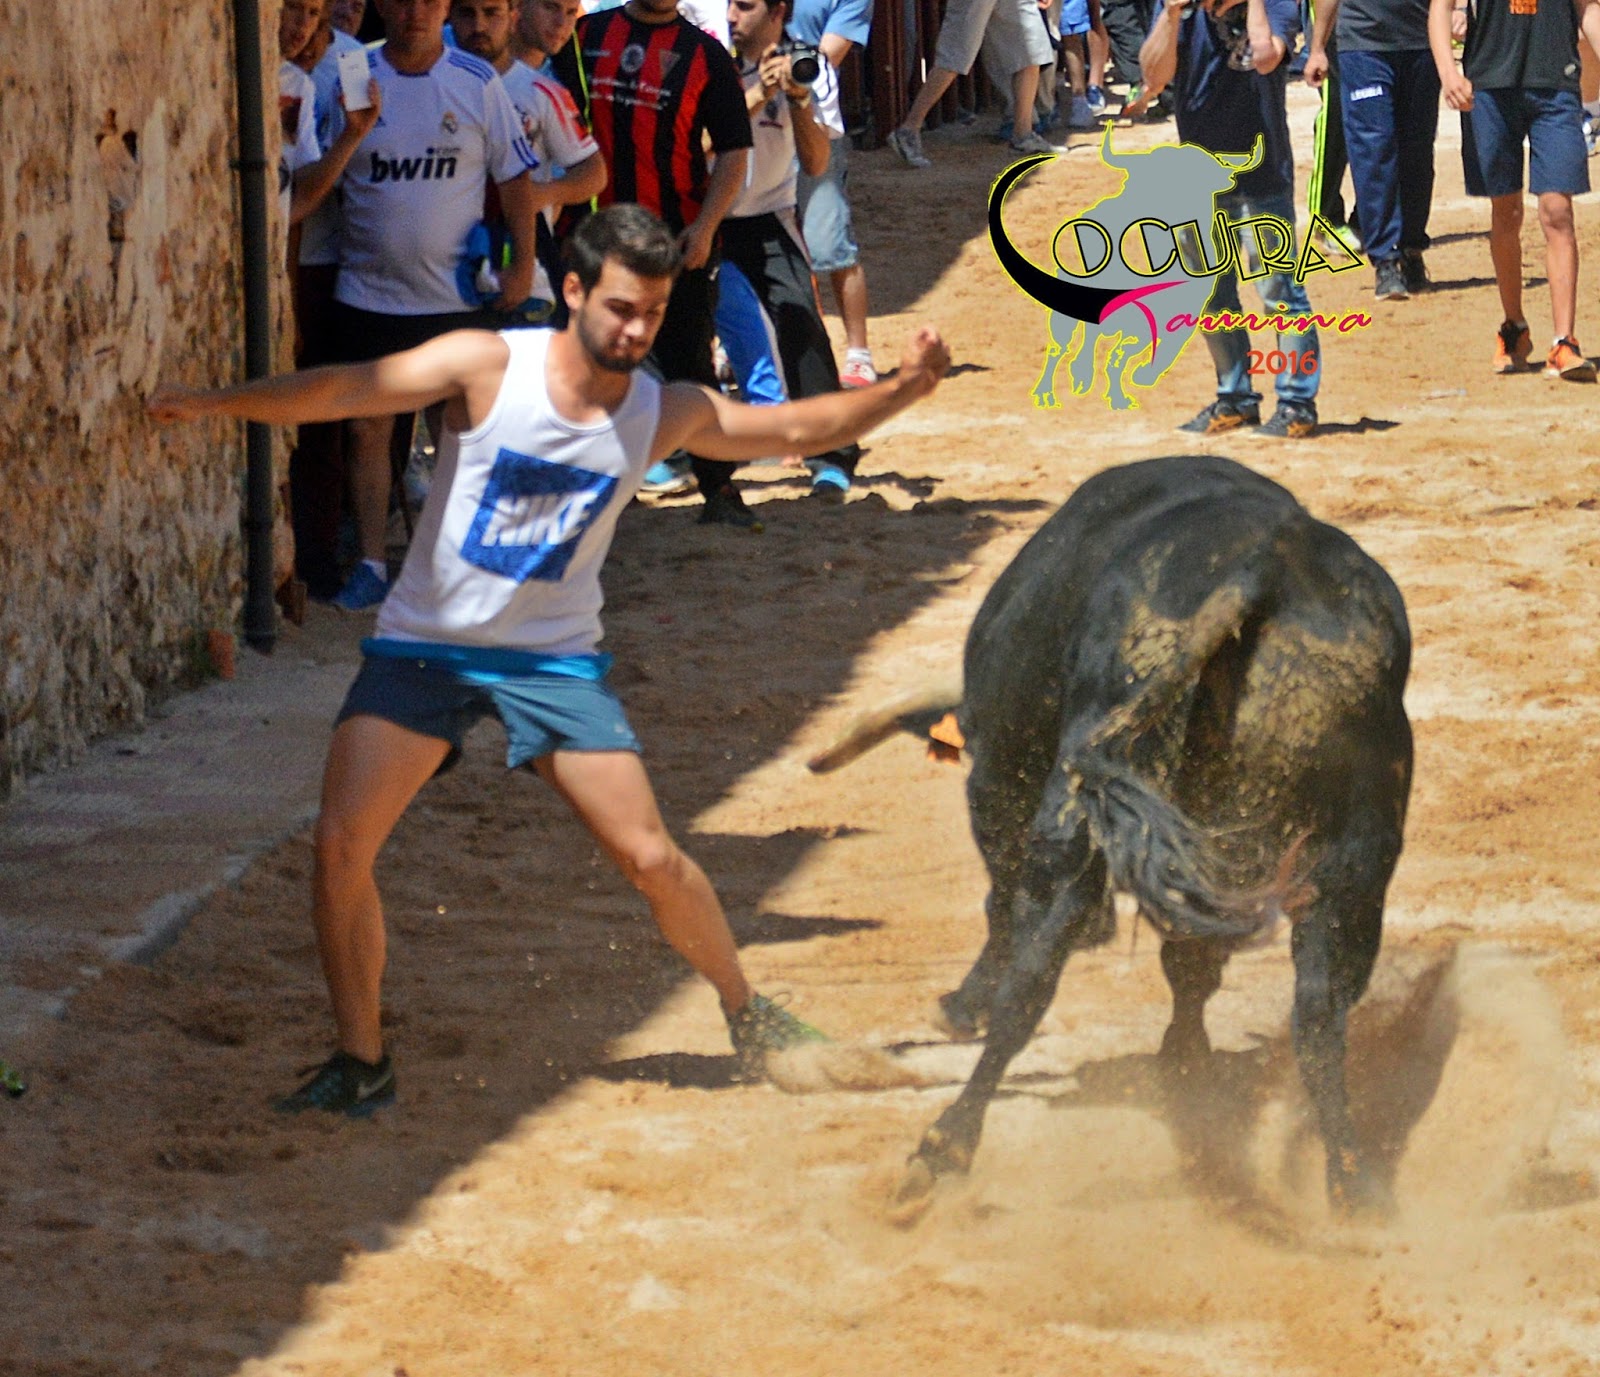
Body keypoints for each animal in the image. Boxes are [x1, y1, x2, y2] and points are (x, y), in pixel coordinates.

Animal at [812, 456, 1413, 1218]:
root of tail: (1264, 563)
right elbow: (1192, 965)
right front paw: (1183, 1061)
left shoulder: (1001, 788)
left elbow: (1004, 913)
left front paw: (961, 1004)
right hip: (1355, 859)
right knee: (1320, 1015)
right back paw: (1351, 1189)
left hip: (1078, 821)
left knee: (1030, 981)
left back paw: (941, 1147)